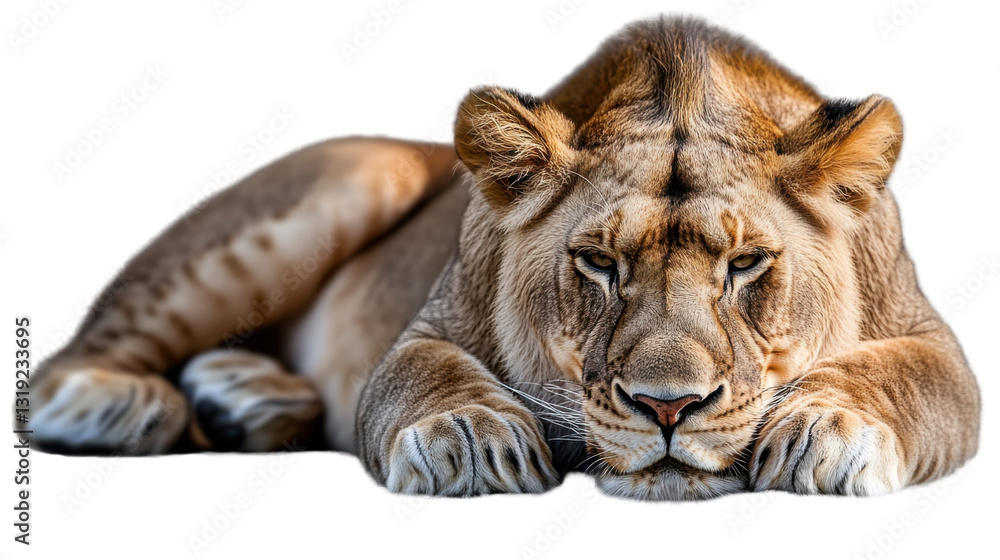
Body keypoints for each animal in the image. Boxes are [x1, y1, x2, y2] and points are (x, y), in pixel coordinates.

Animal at [28, 16, 980, 500]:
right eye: (598, 264)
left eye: (745, 266)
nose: (668, 408)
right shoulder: (425, 329)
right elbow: (426, 375)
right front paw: (474, 438)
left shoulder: (936, 344)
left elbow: (903, 378)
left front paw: (828, 431)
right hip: (355, 173)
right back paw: (122, 407)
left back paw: (247, 399)